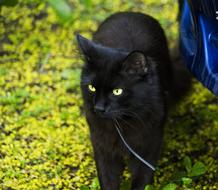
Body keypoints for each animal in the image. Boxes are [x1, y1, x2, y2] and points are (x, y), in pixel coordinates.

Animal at [77, 11, 190, 190]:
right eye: (92, 88)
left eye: (117, 91)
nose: (99, 108)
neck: (122, 123)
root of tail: (130, 12)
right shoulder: (102, 147)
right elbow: (107, 180)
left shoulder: (148, 148)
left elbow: (141, 180)